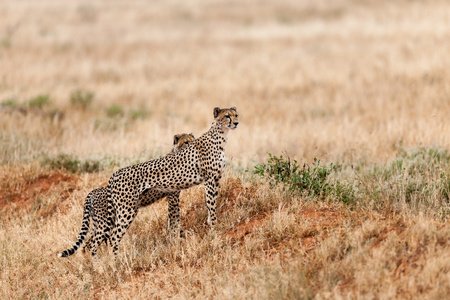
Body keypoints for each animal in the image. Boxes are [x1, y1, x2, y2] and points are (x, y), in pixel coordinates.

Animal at [58, 134, 195, 258]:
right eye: (186, 142)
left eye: (193, 140)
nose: (193, 145)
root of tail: (92, 192)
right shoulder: (172, 198)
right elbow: (174, 218)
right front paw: (176, 238)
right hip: (109, 220)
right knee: (96, 242)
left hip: (100, 223)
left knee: (87, 243)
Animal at [88, 106, 241, 254]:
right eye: (227, 116)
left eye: (236, 115)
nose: (236, 123)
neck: (221, 137)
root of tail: (115, 173)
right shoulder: (206, 181)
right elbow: (209, 205)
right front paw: (214, 228)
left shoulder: (215, 179)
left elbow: (210, 204)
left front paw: (209, 223)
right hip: (126, 210)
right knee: (111, 237)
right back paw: (115, 260)